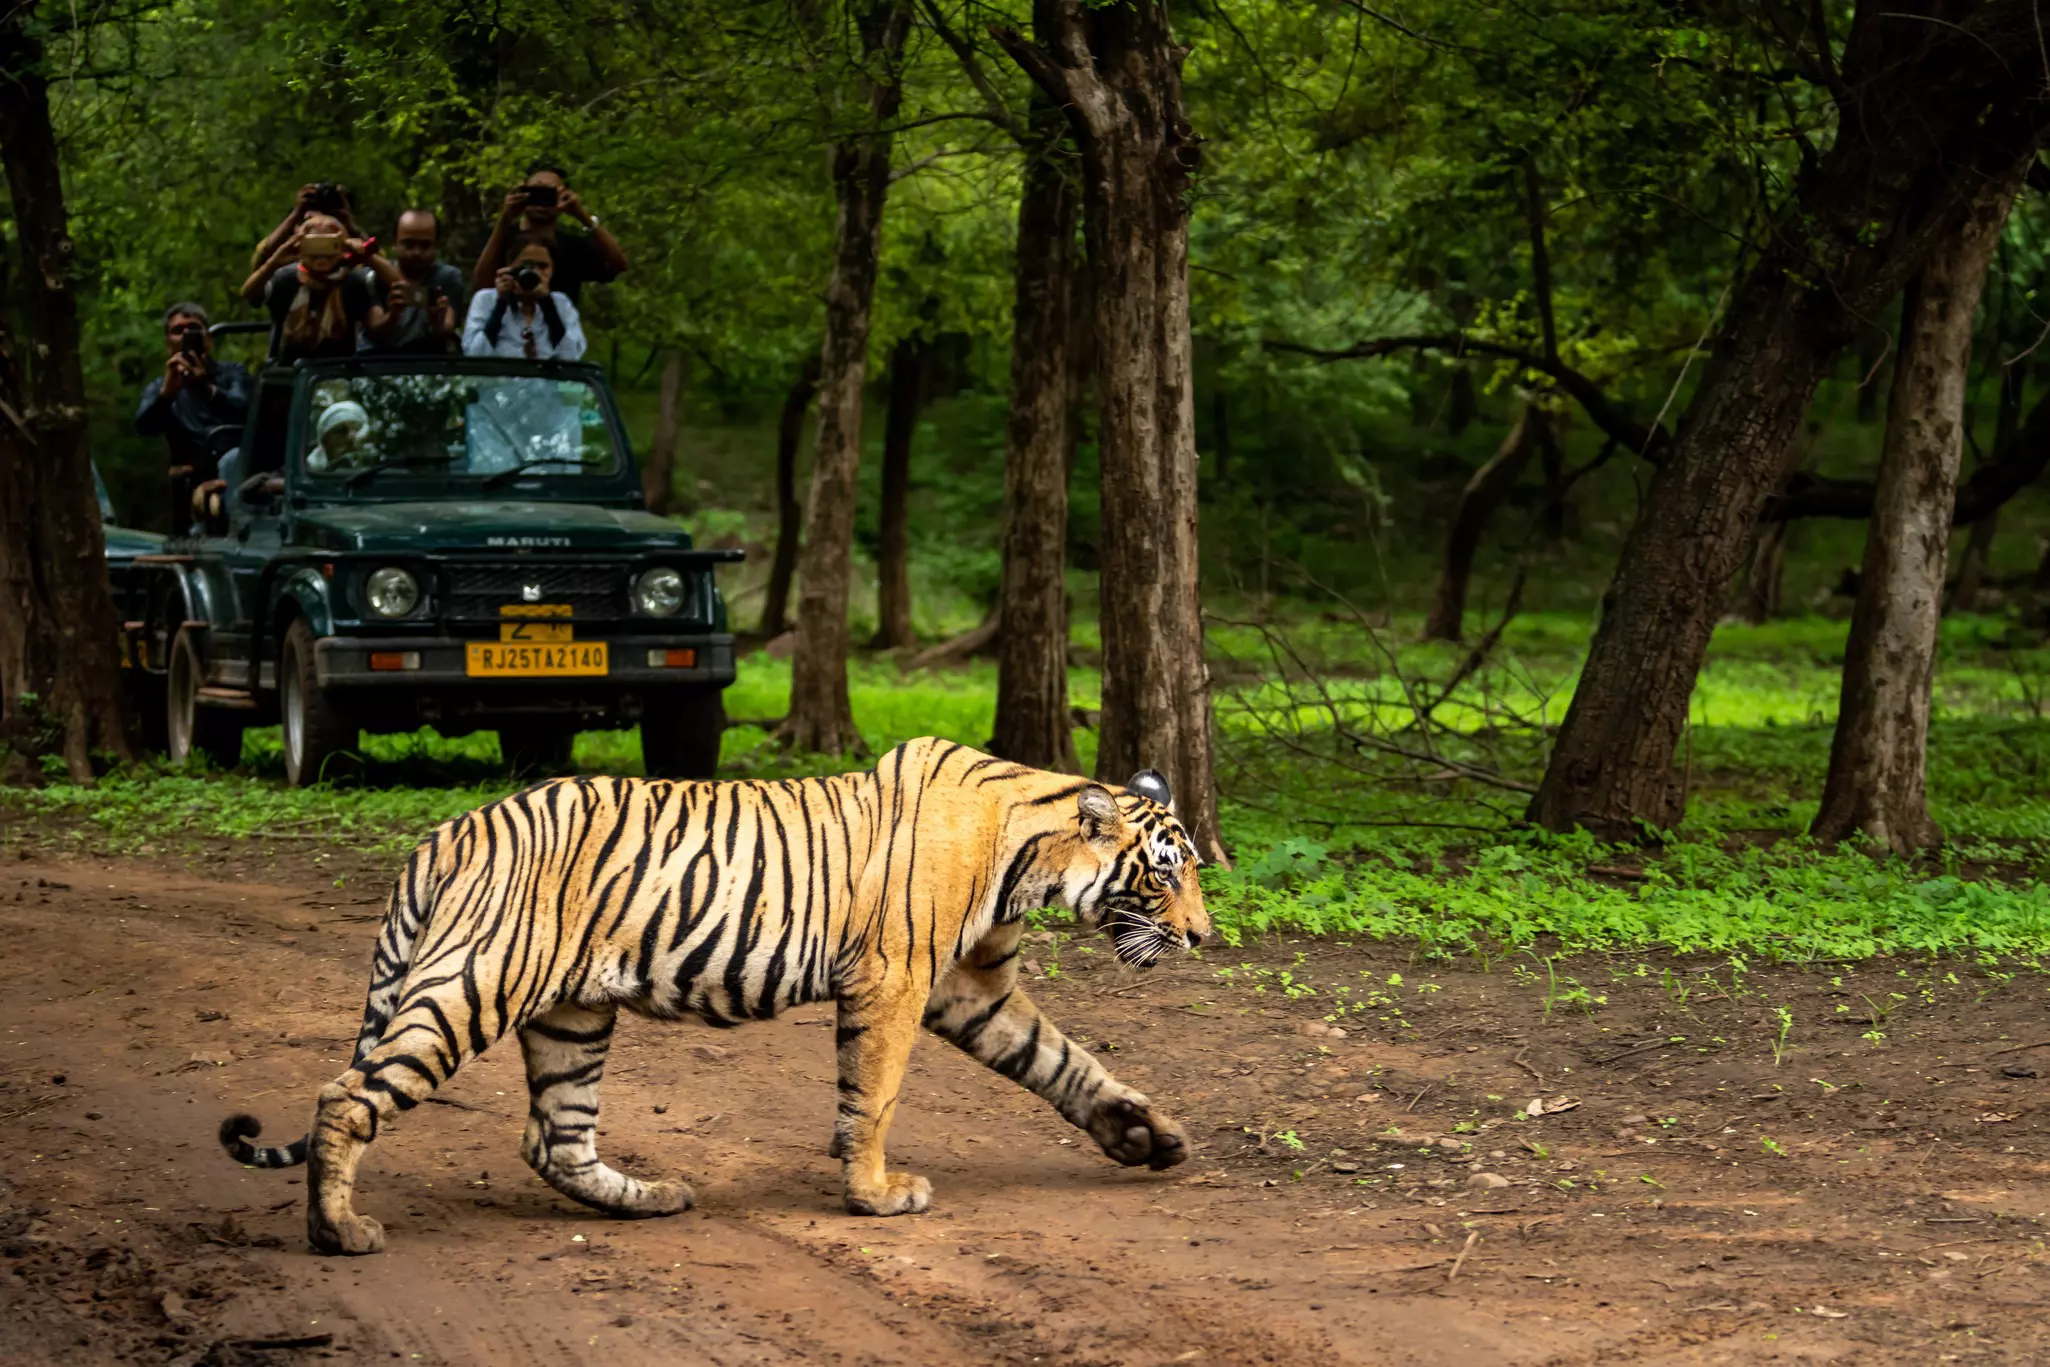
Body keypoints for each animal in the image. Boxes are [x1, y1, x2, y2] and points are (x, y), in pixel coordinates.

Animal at [217, 736, 1210, 1256]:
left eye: (1191, 869)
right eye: (1165, 874)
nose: (1202, 935)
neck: (1032, 858)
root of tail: (445, 831)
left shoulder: (971, 988)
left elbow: (1066, 1061)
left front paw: (1146, 1135)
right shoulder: (896, 980)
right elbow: (876, 1095)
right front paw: (876, 1195)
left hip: (573, 1013)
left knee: (554, 1138)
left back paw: (650, 1198)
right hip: (474, 982)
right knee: (347, 1094)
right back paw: (339, 1230)